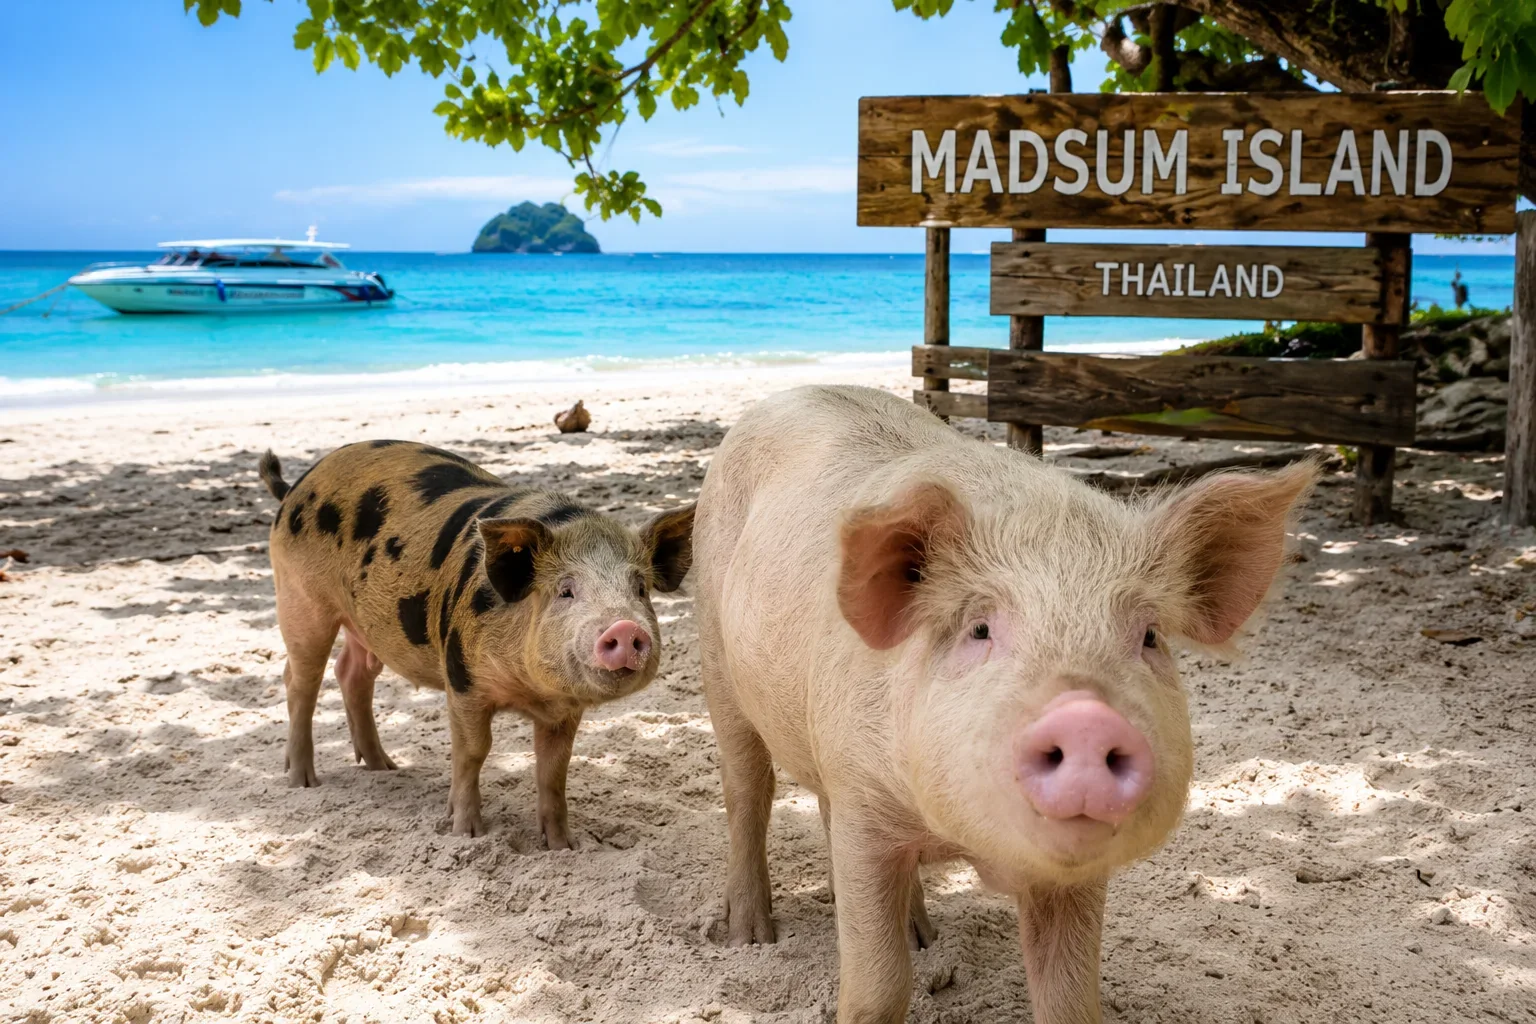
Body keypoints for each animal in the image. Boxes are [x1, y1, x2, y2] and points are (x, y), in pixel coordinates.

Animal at [257, 440, 694, 847]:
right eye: (566, 590)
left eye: (640, 589)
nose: (625, 627)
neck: (531, 693)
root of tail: (295, 487)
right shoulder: (461, 678)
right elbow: (473, 751)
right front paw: (466, 832)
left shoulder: (563, 711)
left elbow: (553, 770)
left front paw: (564, 845)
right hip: (299, 598)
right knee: (301, 679)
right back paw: (303, 780)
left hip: (365, 624)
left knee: (351, 672)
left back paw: (385, 768)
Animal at [692, 386, 1315, 1023]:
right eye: (980, 629)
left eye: (1149, 637)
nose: (1086, 717)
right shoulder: (863, 804)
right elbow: (878, 985)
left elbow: (1069, 998)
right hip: (714, 644)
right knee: (747, 788)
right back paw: (748, 937)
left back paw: (920, 935)